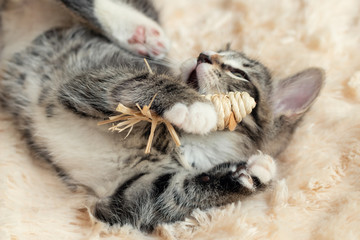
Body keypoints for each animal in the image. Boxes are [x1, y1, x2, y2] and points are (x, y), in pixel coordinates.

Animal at [0, 0, 324, 232]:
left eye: (238, 72)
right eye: (213, 52)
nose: (203, 54)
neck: (197, 144)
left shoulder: (124, 198)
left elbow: (168, 195)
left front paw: (249, 176)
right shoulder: (86, 81)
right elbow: (135, 83)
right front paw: (194, 106)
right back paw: (139, 31)